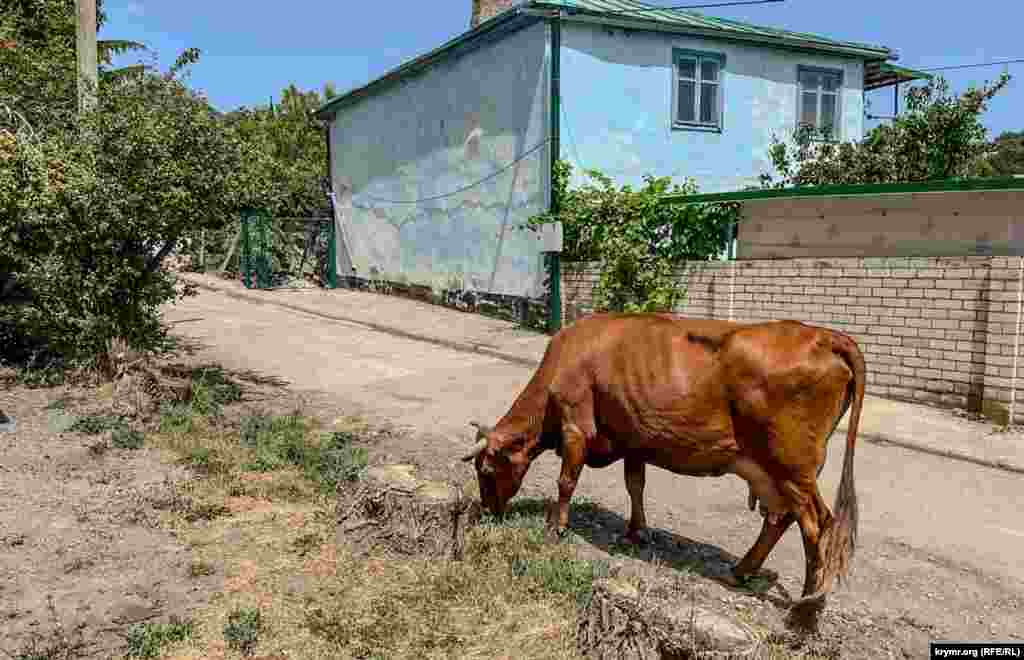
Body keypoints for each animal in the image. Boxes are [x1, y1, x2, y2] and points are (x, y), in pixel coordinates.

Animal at [464, 313, 864, 601]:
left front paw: (555, 527)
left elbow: (566, 481)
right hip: (769, 471)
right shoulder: (634, 438)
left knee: (816, 523)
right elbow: (635, 485)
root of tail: (824, 336)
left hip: (792, 464)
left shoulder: (576, 426)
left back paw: (807, 602)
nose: (486, 511)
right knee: (780, 518)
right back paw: (741, 571)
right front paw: (635, 532)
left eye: (486, 470)